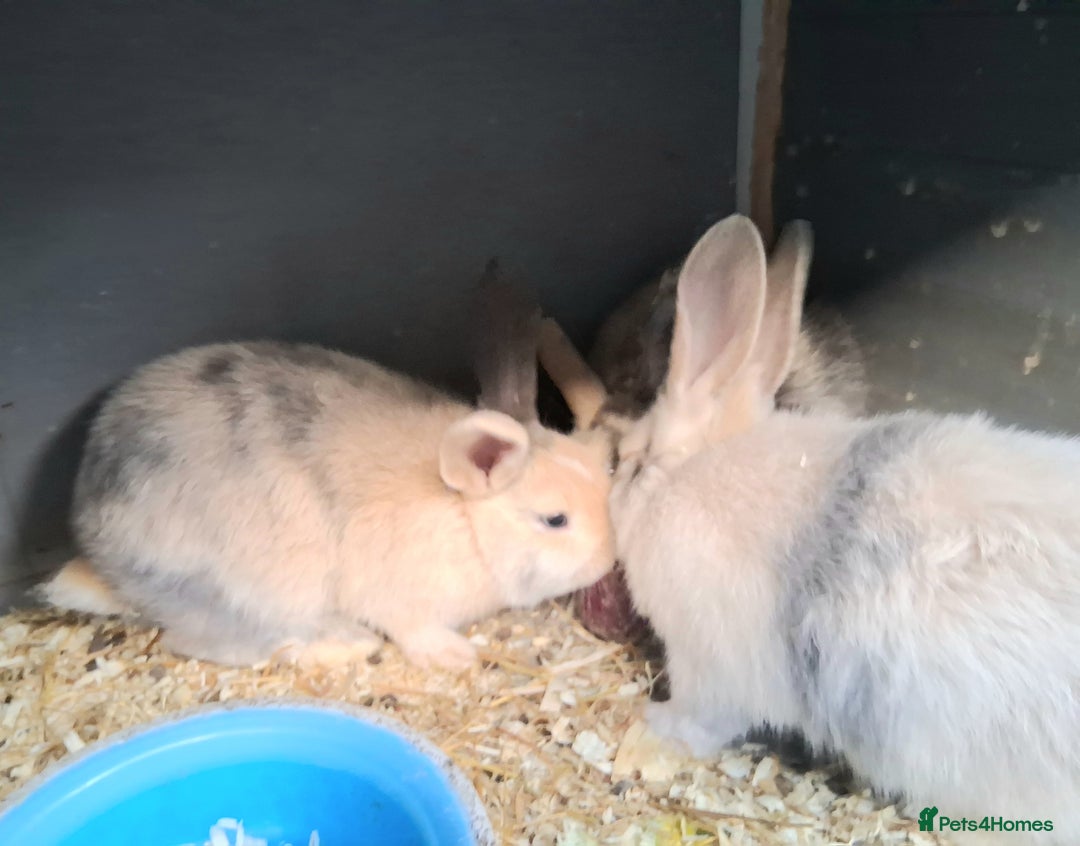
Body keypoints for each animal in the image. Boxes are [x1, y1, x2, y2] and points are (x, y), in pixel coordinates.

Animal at [38, 261, 615, 671]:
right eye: (554, 520)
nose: (609, 562)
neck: (463, 518)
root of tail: (98, 548)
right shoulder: (396, 596)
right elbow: (411, 628)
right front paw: (454, 657)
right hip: (247, 590)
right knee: (211, 641)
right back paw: (345, 644)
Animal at [598, 214, 1080, 844]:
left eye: (622, 464)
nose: (608, 487)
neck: (695, 472)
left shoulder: (710, 670)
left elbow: (702, 719)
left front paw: (653, 720)